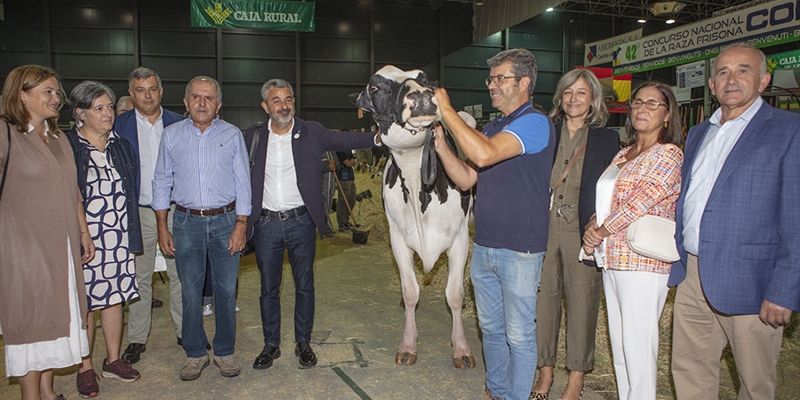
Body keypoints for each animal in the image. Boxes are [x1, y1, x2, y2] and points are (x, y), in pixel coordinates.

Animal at [356, 65, 476, 368]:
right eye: (375, 87)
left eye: (425, 79)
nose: (422, 96)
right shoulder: (397, 239)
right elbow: (411, 291)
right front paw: (408, 344)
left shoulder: (460, 239)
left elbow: (454, 294)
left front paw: (461, 348)